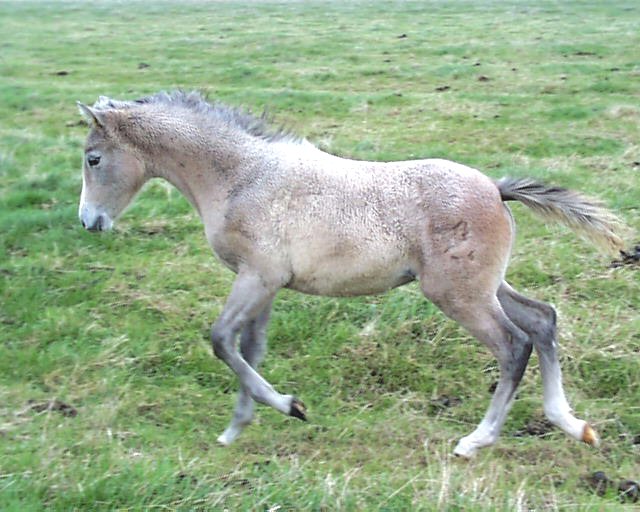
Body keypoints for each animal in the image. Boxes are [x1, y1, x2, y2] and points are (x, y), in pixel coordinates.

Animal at [76, 90, 624, 458]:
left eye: (93, 158)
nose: (88, 222)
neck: (242, 176)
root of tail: (494, 187)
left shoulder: (256, 277)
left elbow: (221, 341)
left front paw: (288, 406)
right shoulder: (266, 284)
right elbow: (248, 347)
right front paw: (240, 427)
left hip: (458, 295)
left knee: (514, 346)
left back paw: (476, 440)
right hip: (487, 287)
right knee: (543, 321)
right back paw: (572, 425)